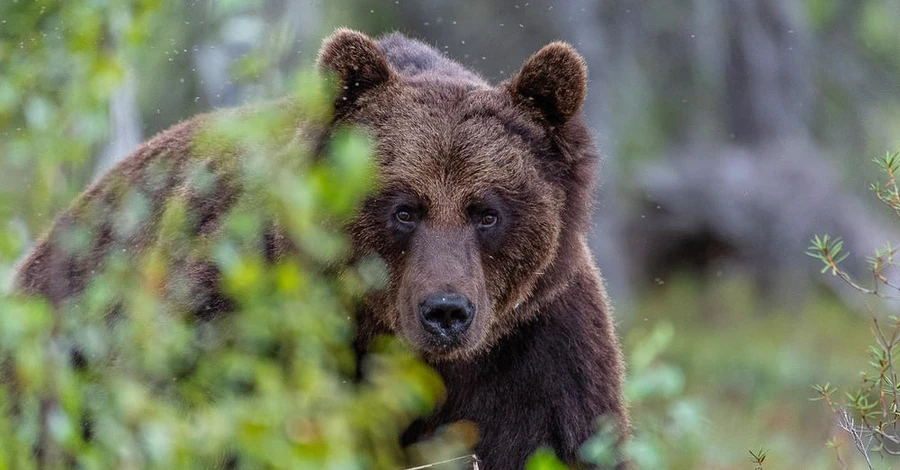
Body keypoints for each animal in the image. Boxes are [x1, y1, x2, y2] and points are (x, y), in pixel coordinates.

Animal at [15, 28, 632, 466]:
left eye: (487, 213)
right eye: (404, 209)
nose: (446, 312)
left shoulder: (536, 349)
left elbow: (557, 441)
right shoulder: (239, 307)